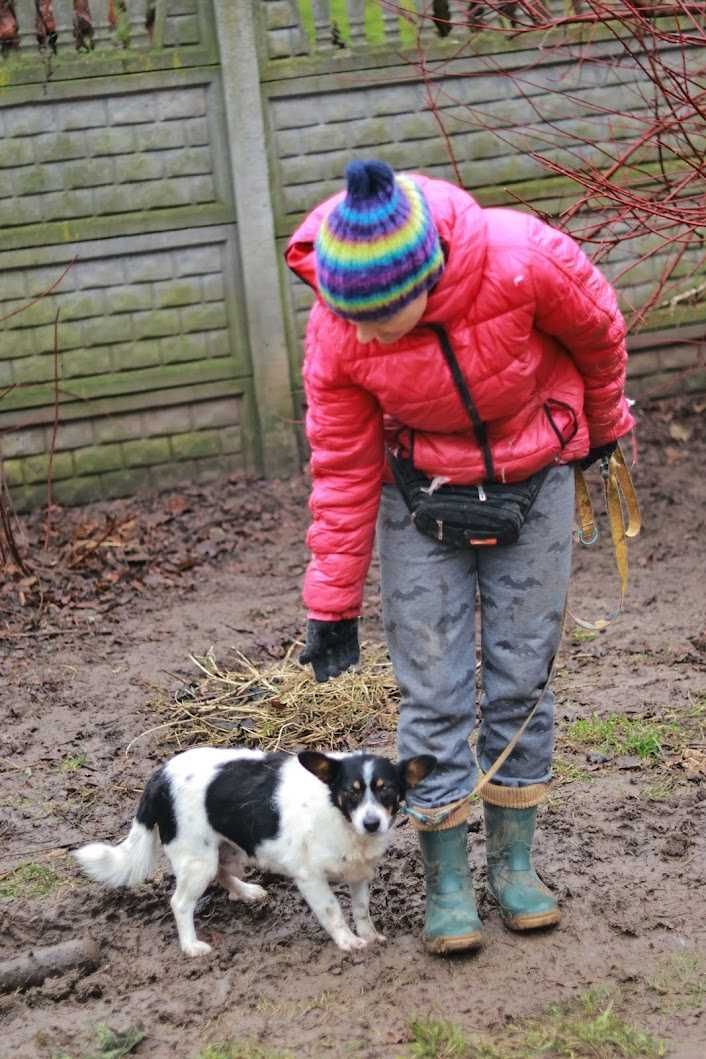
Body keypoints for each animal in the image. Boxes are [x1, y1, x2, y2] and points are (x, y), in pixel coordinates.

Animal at [73, 745, 436, 961]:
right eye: (351, 792)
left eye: (387, 791)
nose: (372, 823)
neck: (338, 814)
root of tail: (159, 776)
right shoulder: (311, 879)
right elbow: (332, 911)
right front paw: (348, 941)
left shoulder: (358, 874)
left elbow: (361, 910)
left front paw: (369, 935)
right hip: (197, 860)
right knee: (180, 903)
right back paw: (191, 946)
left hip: (223, 850)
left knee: (223, 872)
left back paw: (246, 892)